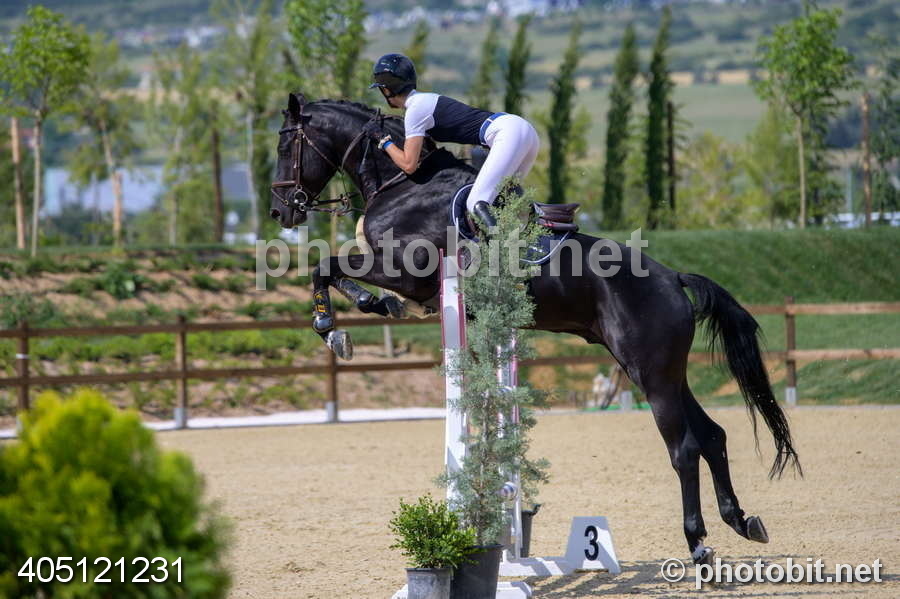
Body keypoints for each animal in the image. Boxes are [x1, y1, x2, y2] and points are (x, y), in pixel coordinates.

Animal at [269, 92, 800, 565]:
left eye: (284, 143)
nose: (280, 211)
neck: (403, 182)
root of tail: (672, 278)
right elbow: (333, 269)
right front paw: (365, 310)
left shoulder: (407, 269)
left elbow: (325, 265)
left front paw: (337, 324)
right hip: (662, 370)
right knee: (712, 436)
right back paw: (742, 521)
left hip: (650, 372)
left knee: (684, 448)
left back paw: (698, 545)